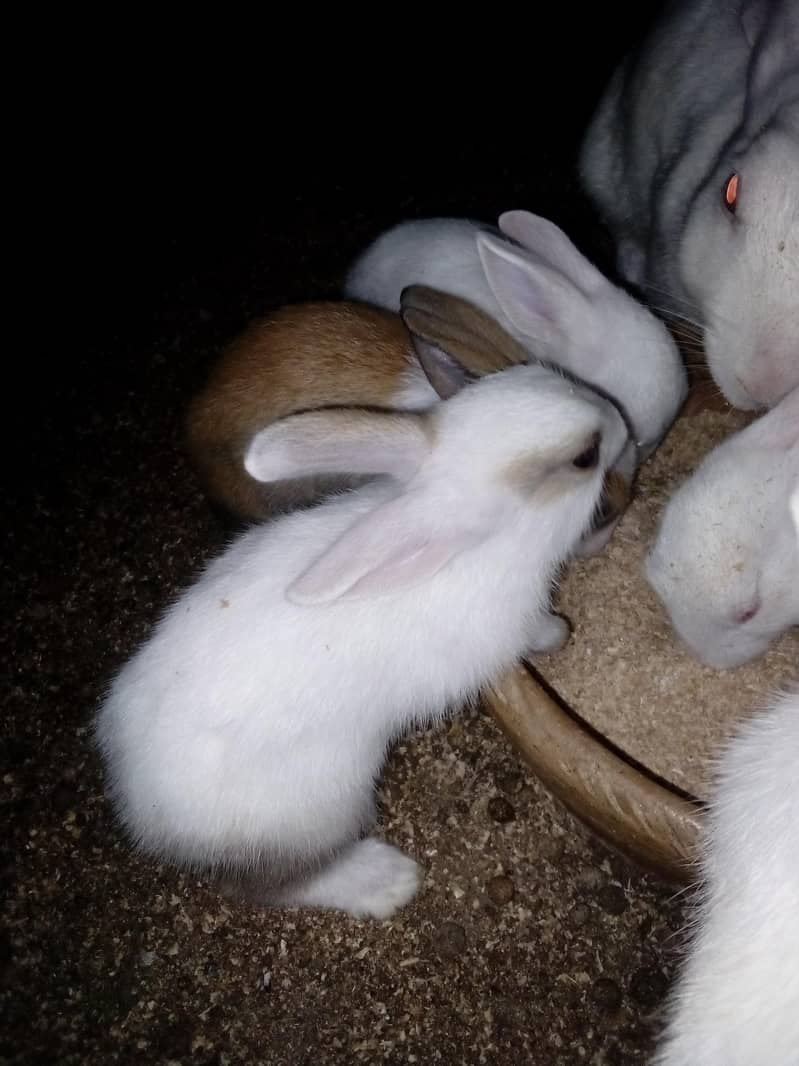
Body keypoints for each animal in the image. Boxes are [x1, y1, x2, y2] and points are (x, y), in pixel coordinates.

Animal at [95, 324, 631, 920]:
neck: (485, 542)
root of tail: (143, 815)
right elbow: (536, 634)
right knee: (273, 884)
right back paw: (387, 880)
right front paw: (561, 636)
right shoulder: (512, 627)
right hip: (321, 811)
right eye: (585, 458)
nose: (618, 417)